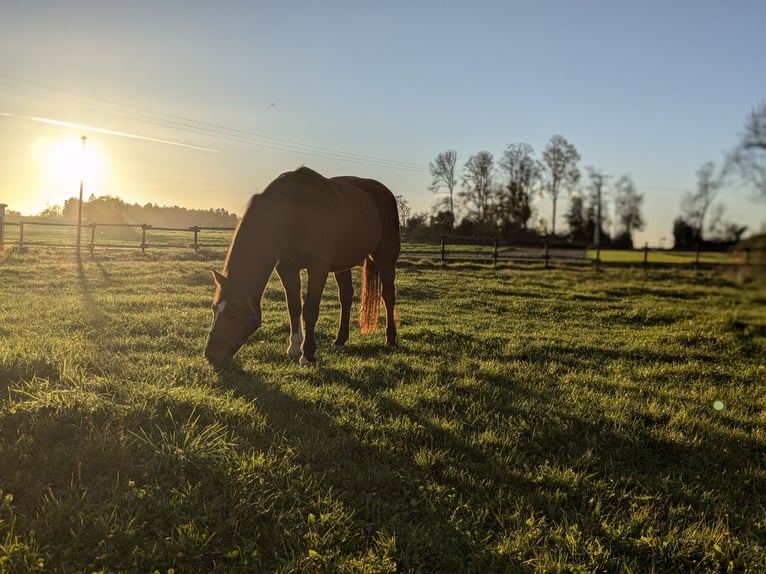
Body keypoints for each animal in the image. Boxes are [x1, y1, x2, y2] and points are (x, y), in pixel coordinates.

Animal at [207, 166, 404, 366]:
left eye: (233, 313)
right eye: (214, 308)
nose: (211, 355)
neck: (295, 212)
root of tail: (384, 192)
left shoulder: (318, 268)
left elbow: (310, 309)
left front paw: (307, 354)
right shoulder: (287, 268)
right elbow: (294, 306)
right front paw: (294, 348)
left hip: (385, 259)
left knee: (388, 295)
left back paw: (391, 339)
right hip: (343, 264)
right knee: (346, 297)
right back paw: (340, 341)